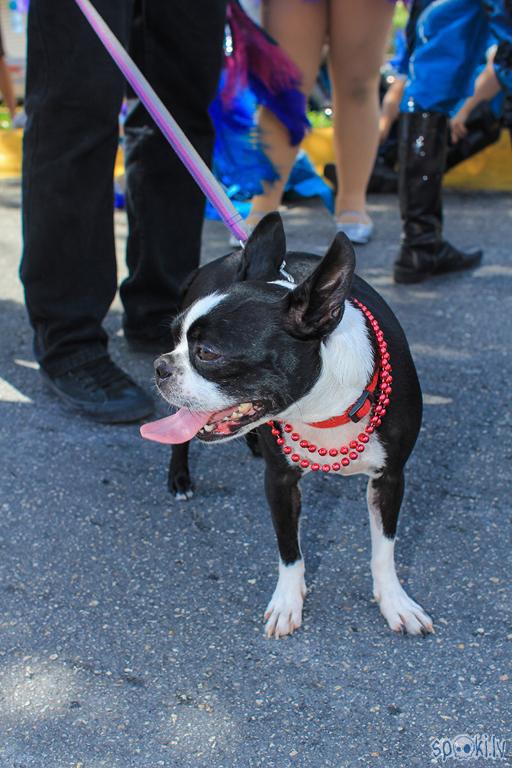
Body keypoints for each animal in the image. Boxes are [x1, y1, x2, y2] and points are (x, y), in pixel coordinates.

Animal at [142, 213, 434, 640]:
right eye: (174, 336)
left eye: (207, 353)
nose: (161, 365)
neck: (321, 407)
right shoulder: (280, 481)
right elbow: (288, 548)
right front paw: (287, 603)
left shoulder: (391, 477)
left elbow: (385, 548)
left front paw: (395, 602)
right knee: (180, 440)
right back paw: (180, 478)